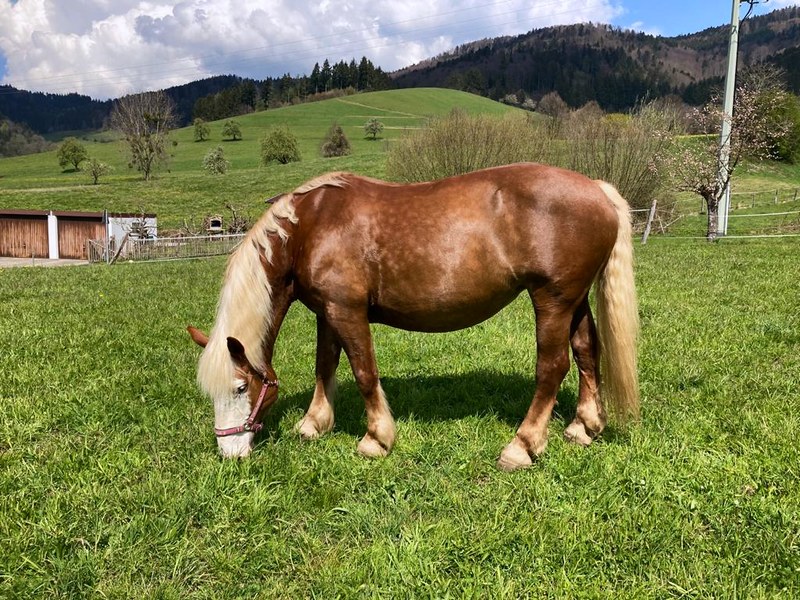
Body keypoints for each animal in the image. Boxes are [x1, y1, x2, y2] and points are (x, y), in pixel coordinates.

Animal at [187, 162, 639, 471]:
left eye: (241, 388)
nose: (229, 452)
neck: (309, 228)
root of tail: (598, 190)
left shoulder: (347, 311)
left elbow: (364, 371)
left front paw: (376, 439)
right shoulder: (327, 313)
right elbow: (324, 365)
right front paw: (314, 423)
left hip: (553, 300)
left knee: (553, 366)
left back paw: (522, 446)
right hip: (574, 300)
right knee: (586, 351)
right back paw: (583, 427)